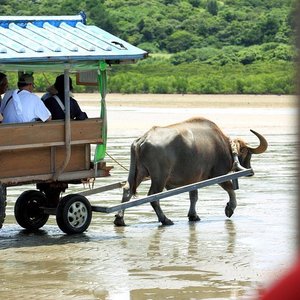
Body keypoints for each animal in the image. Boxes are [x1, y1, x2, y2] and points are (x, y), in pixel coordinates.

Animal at [114, 116, 268, 226]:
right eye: (248, 154)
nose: (251, 172)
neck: (223, 145)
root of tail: (143, 139)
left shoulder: (193, 179)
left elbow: (194, 196)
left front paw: (193, 215)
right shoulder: (218, 174)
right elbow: (230, 189)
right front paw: (230, 208)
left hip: (138, 172)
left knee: (127, 190)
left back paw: (120, 219)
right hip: (159, 177)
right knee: (153, 196)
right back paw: (165, 219)